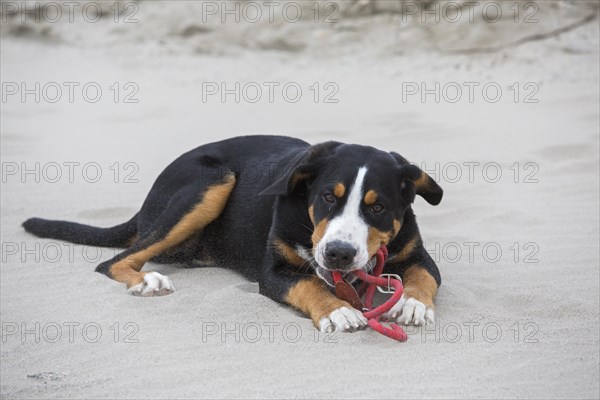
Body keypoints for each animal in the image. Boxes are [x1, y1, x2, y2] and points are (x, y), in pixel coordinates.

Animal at [23, 136, 442, 332]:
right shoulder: (273, 272)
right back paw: (146, 281)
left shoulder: (418, 254)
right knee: (115, 260)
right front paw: (336, 310)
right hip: (213, 180)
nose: (338, 253)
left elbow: (424, 276)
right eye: (327, 197)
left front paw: (414, 303)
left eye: (378, 208)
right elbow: (310, 284)